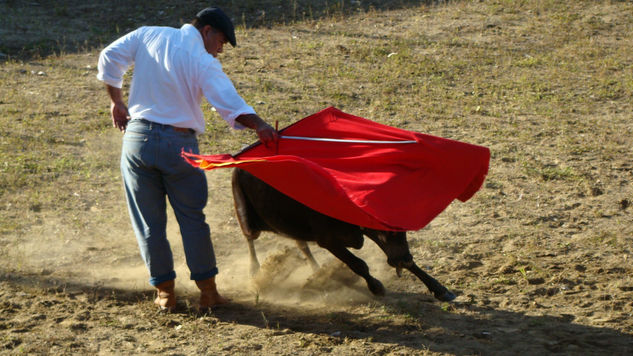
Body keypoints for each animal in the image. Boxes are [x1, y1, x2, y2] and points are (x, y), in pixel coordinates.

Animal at [231, 168, 454, 302]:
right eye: (385, 228)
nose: (403, 259)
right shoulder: (329, 241)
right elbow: (358, 264)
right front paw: (376, 287)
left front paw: (440, 289)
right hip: (246, 218)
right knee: (250, 240)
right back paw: (254, 271)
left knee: (301, 244)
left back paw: (317, 270)